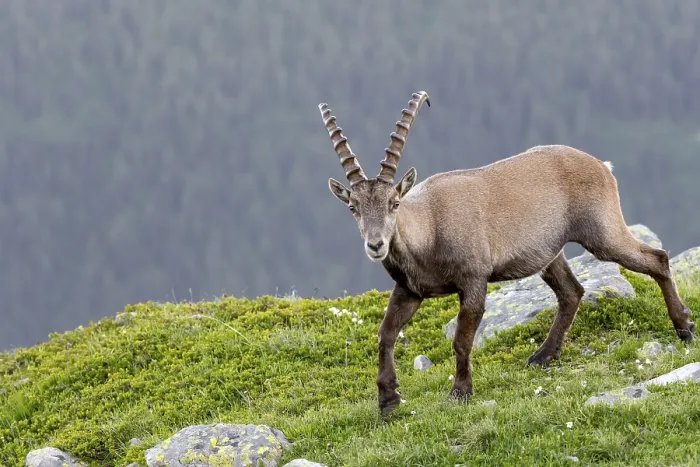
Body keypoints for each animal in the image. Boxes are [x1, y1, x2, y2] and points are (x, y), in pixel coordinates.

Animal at [318, 90, 695, 417]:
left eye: (394, 203)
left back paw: (684, 328)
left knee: (657, 259)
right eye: (353, 207)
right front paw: (388, 401)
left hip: (603, 233)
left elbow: (461, 341)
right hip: (549, 254)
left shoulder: (474, 281)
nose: (376, 245)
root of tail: (602, 166)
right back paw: (543, 356)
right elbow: (385, 335)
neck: (429, 229)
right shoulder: (410, 290)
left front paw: (460, 393)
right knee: (572, 292)